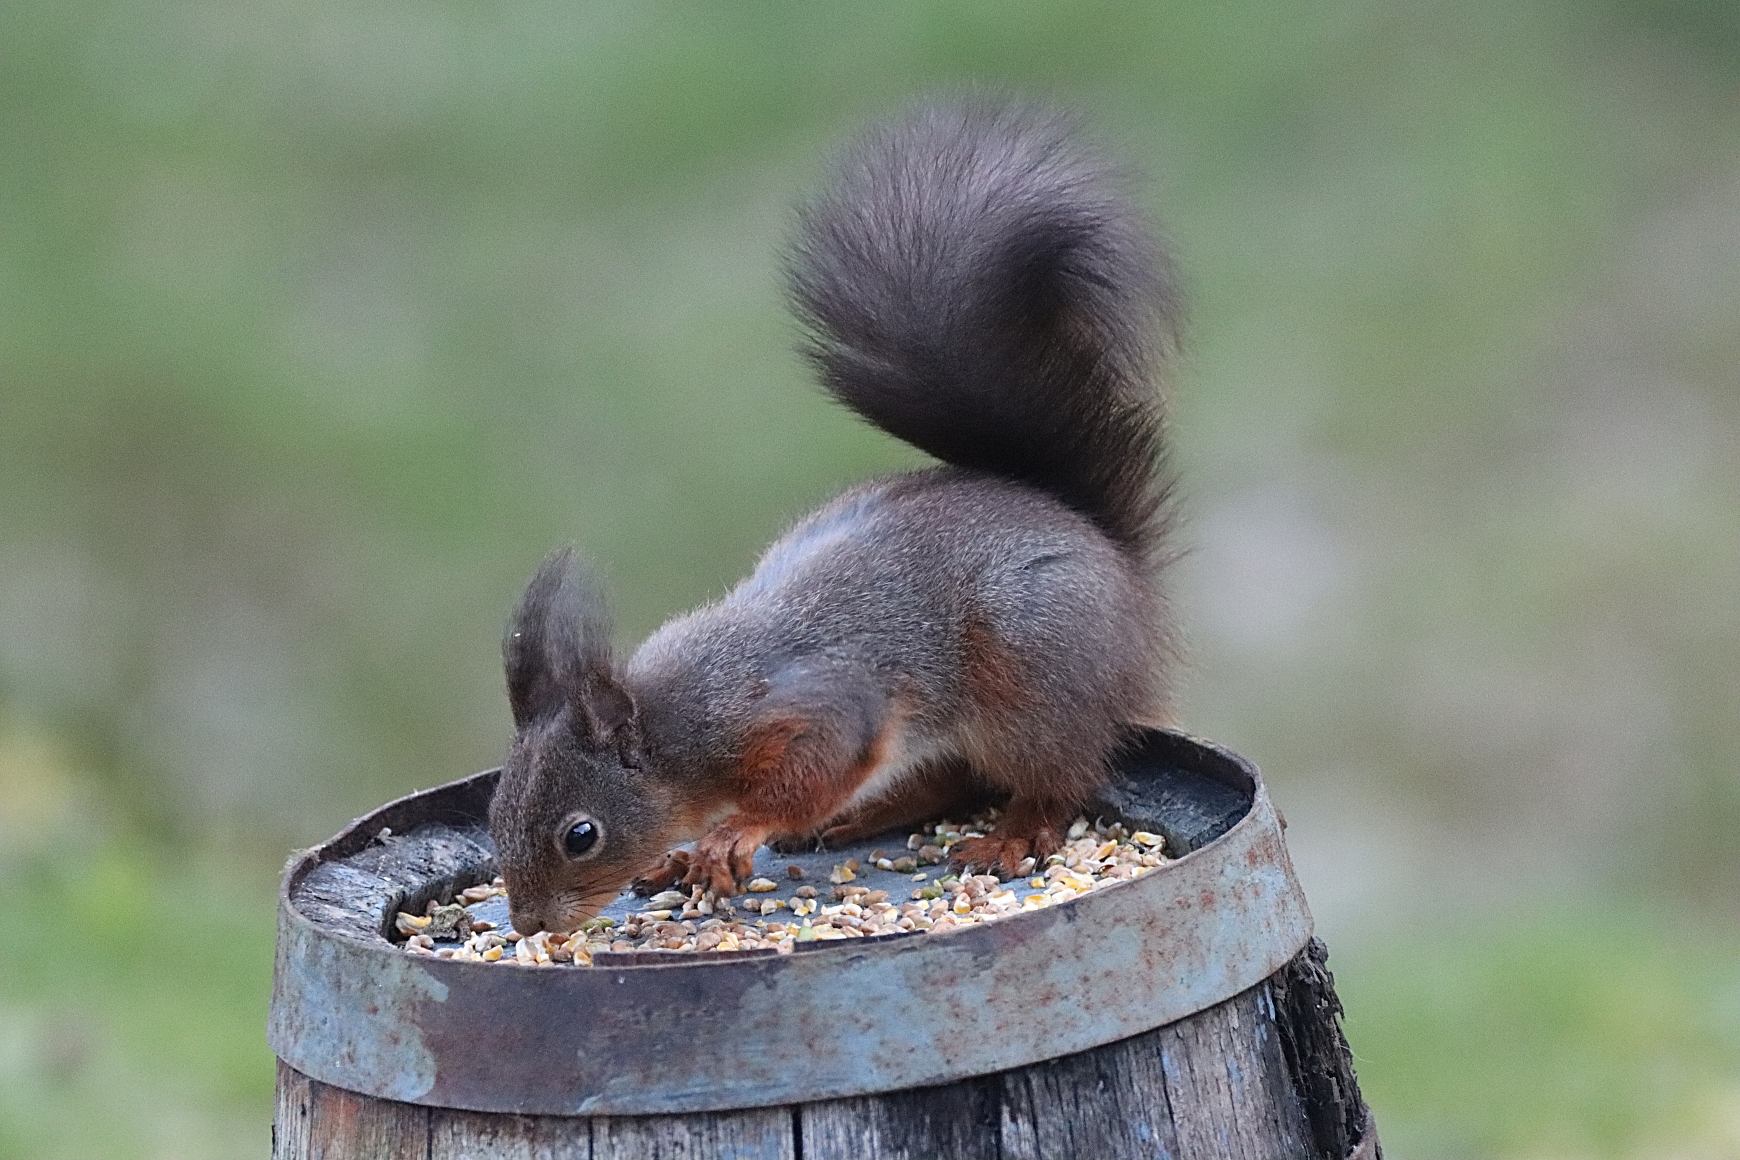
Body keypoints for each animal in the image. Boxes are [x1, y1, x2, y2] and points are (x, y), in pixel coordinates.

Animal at [488, 99, 1181, 937]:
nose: (528, 923)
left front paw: (733, 833)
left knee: (1054, 779)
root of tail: (1118, 566)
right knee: (952, 778)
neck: (675, 731)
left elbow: (812, 773)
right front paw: (683, 857)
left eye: (580, 834)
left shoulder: (811, 710)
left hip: (1033, 680)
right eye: (492, 815)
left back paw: (1010, 837)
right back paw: (866, 817)